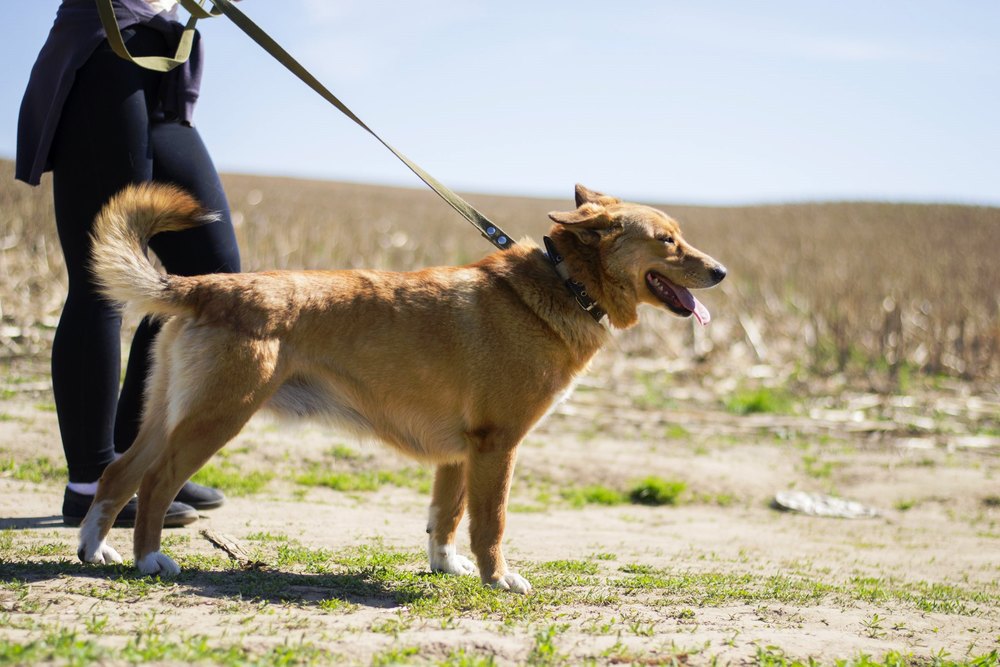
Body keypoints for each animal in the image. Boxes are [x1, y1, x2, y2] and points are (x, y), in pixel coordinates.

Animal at [74, 184, 724, 596]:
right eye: (666, 240)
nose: (720, 272)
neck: (564, 284)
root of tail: (203, 286)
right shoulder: (497, 446)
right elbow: (491, 524)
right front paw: (497, 579)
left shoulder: (460, 455)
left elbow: (446, 518)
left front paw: (447, 567)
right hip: (216, 419)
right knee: (156, 483)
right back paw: (149, 558)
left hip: (167, 414)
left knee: (118, 474)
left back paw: (96, 550)